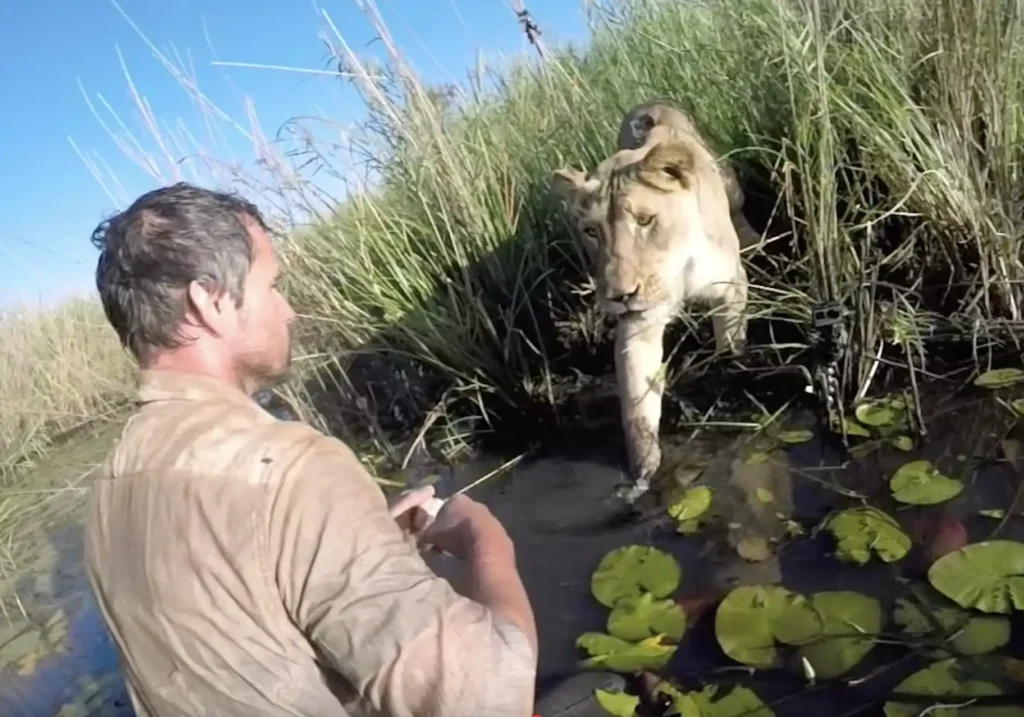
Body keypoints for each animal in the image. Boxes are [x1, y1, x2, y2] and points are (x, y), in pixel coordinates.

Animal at [551, 99, 754, 501]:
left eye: (645, 220)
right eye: (591, 231)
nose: (620, 295)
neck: (678, 270)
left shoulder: (730, 286)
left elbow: (729, 344)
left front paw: (729, 377)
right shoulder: (638, 323)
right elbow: (636, 404)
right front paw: (643, 473)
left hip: (729, 183)